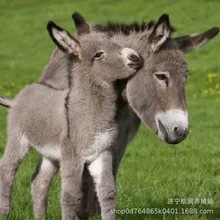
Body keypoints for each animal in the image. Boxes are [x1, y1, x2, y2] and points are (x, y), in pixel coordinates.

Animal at [0, 21, 142, 219]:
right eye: (98, 54)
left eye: (113, 43)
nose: (135, 57)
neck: (89, 114)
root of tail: (17, 98)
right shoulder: (73, 156)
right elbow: (70, 196)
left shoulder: (102, 152)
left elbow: (107, 193)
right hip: (18, 139)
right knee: (7, 170)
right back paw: (4, 212)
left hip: (50, 154)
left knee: (39, 182)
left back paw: (40, 216)